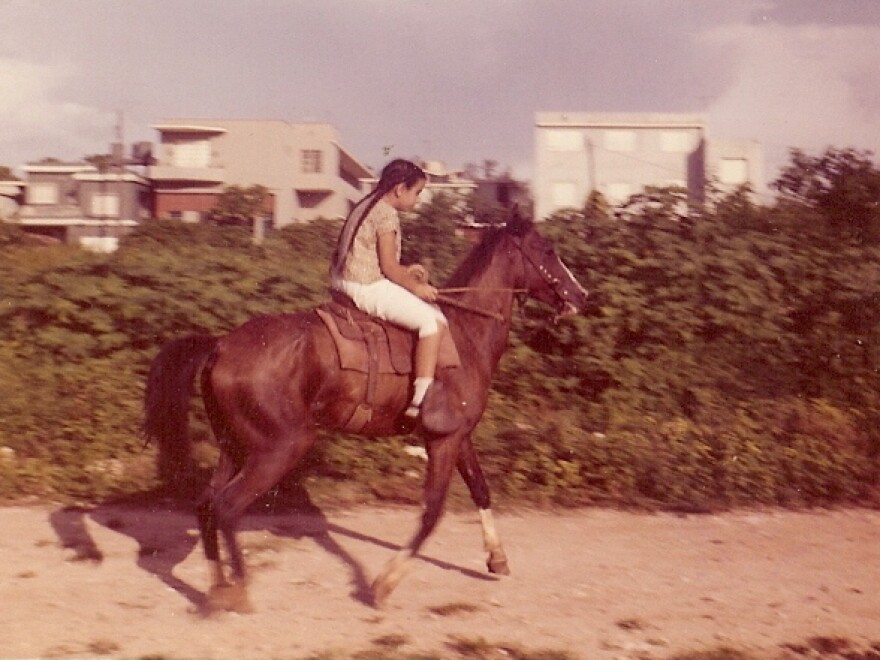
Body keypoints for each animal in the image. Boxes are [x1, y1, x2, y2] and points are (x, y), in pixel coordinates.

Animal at [144, 211, 588, 608]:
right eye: (547, 250)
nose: (580, 295)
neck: (463, 334)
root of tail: (220, 344)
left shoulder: (458, 436)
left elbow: (481, 489)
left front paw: (497, 558)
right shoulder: (443, 440)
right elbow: (432, 513)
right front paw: (383, 584)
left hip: (235, 447)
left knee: (206, 506)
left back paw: (218, 588)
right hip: (279, 448)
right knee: (227, 508)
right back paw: (237, 591)